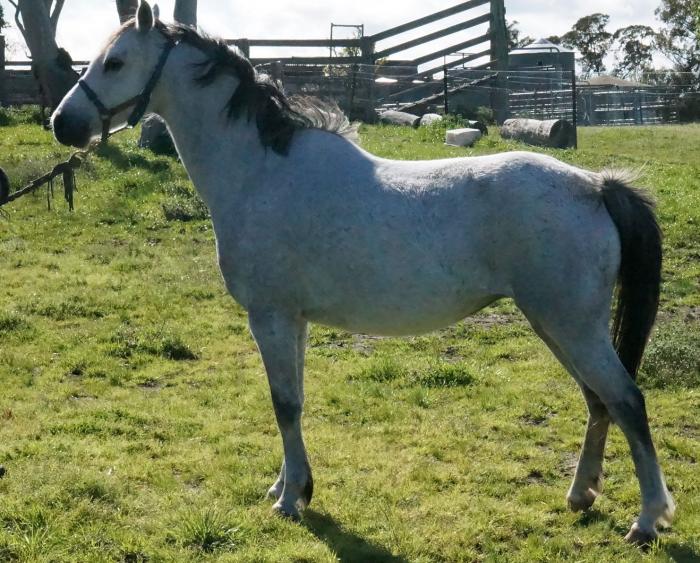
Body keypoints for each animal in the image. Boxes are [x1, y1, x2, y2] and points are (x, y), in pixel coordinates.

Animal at [51, 1, 675, 545]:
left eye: (115, 62)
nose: (64, 124)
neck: (262, 170)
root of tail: (595, 185)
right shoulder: (293, 320)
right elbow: (294, 399)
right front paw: (289, 486)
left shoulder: (270, 316)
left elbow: (284, 403)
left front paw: (290, 500)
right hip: (557, 326)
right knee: (598, 401)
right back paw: (581, 495)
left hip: (573, 327)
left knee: (627, 401)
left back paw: (646, 521)